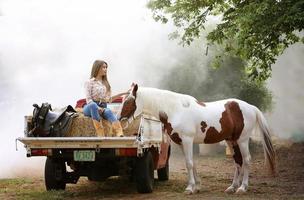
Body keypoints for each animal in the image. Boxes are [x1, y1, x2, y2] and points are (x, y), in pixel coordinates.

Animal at [118, 84, 276, 194]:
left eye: (129, 102)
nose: (120, 120)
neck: (175, 109)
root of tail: (250, 107)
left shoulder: (187, 140)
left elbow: (188, 163)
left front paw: (189, 188)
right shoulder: (181, 143)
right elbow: (192, 162)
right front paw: (197, 186)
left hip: (242, 140)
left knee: (247, 160)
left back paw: (243, 188)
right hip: (231, 141)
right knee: (238, 161)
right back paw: (232, 187)